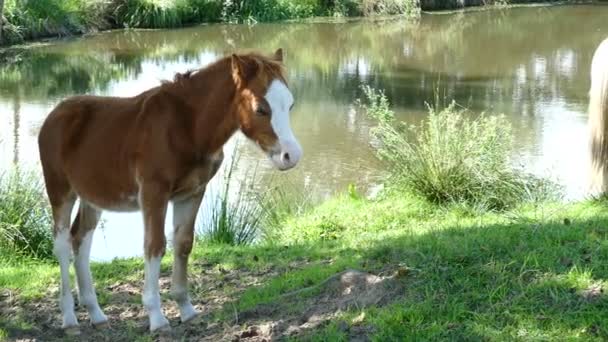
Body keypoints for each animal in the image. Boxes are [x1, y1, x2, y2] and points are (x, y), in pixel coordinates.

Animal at [36, 48, 302, 334]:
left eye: (290, 104)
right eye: (260, 108)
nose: (291, 156)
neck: (187, 127)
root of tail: (53, 115)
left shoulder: (192, 193)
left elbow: (183, 244)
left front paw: (186, 309)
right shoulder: (154, 193)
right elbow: (155, 246)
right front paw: (157, 317)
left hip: (93, 198)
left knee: (81, 239)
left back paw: (96, 314)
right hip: (60, 191)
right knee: (62, 245)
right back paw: (69, 319)